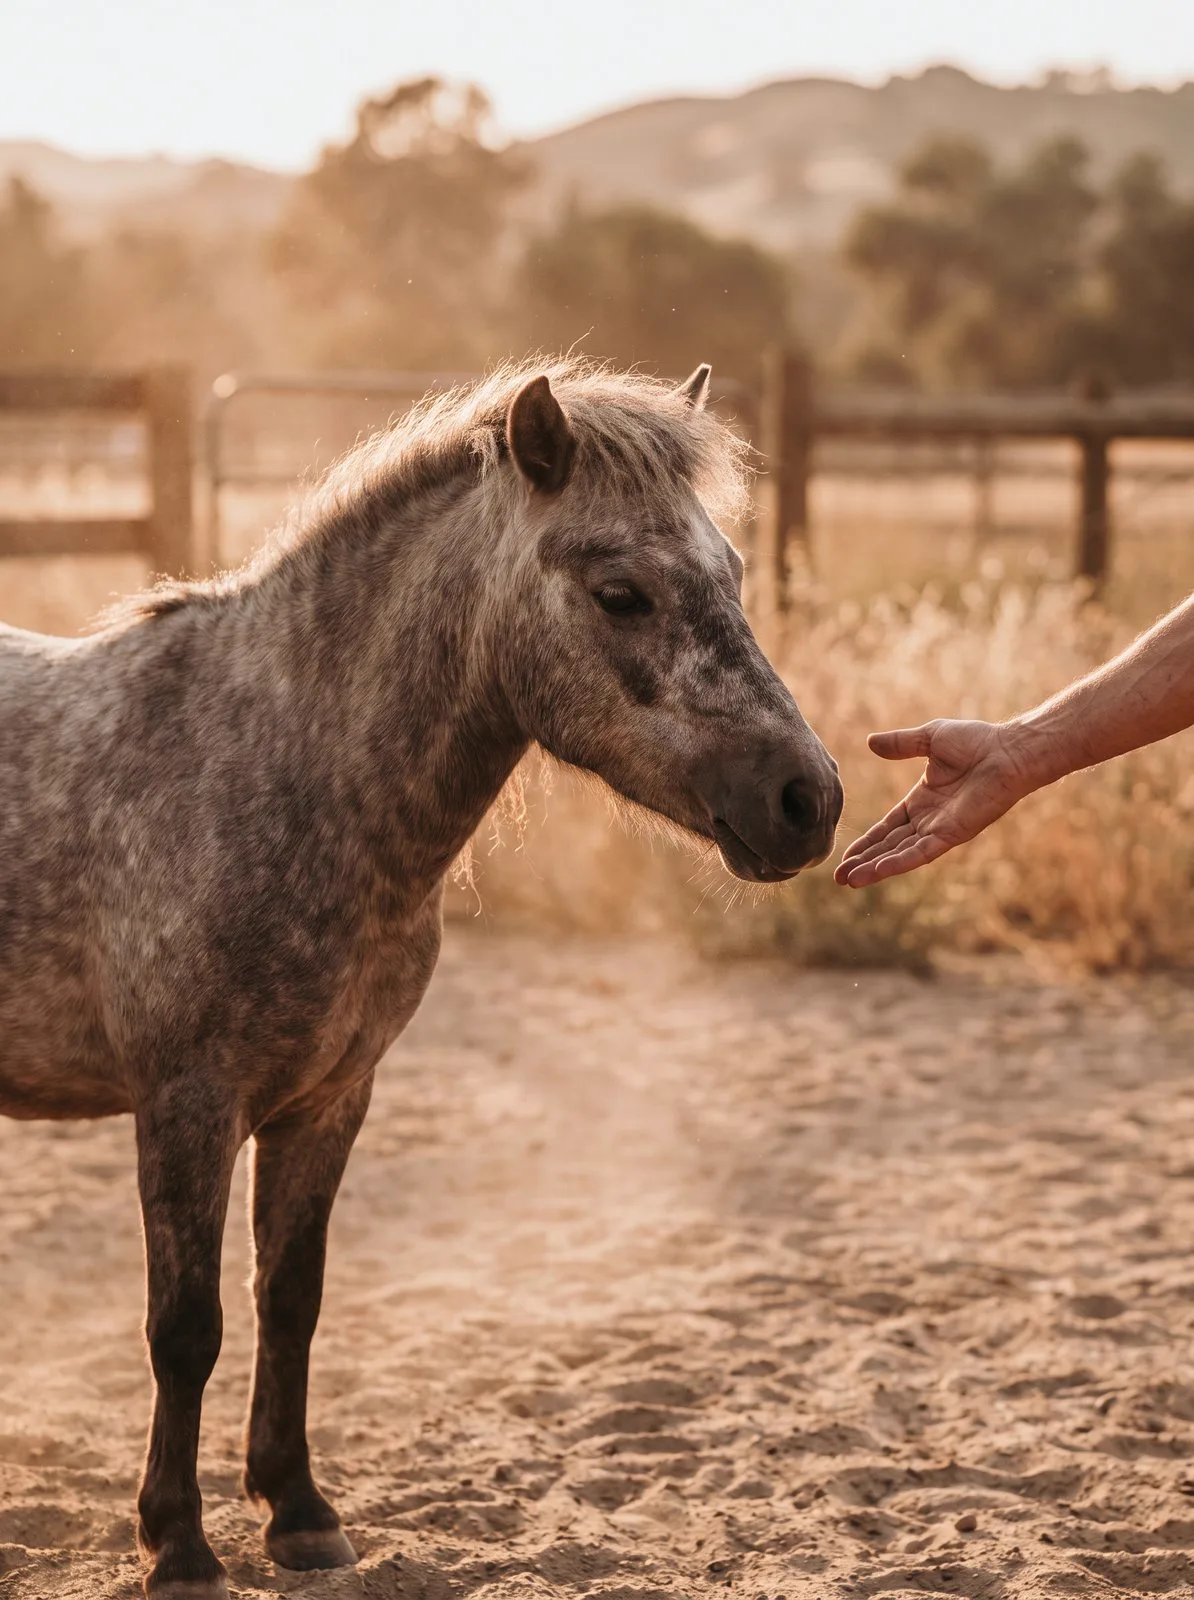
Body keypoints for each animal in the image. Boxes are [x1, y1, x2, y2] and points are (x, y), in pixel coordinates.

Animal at [0, 358, 842, 1598]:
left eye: (732, 569)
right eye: (622, 592)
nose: (807, 799)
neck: (271, 766)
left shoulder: (329, 1100)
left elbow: (289, 1299)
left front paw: (299, 1512)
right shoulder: (188, 1104)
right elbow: (186, 1326)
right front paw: (180, 1543)